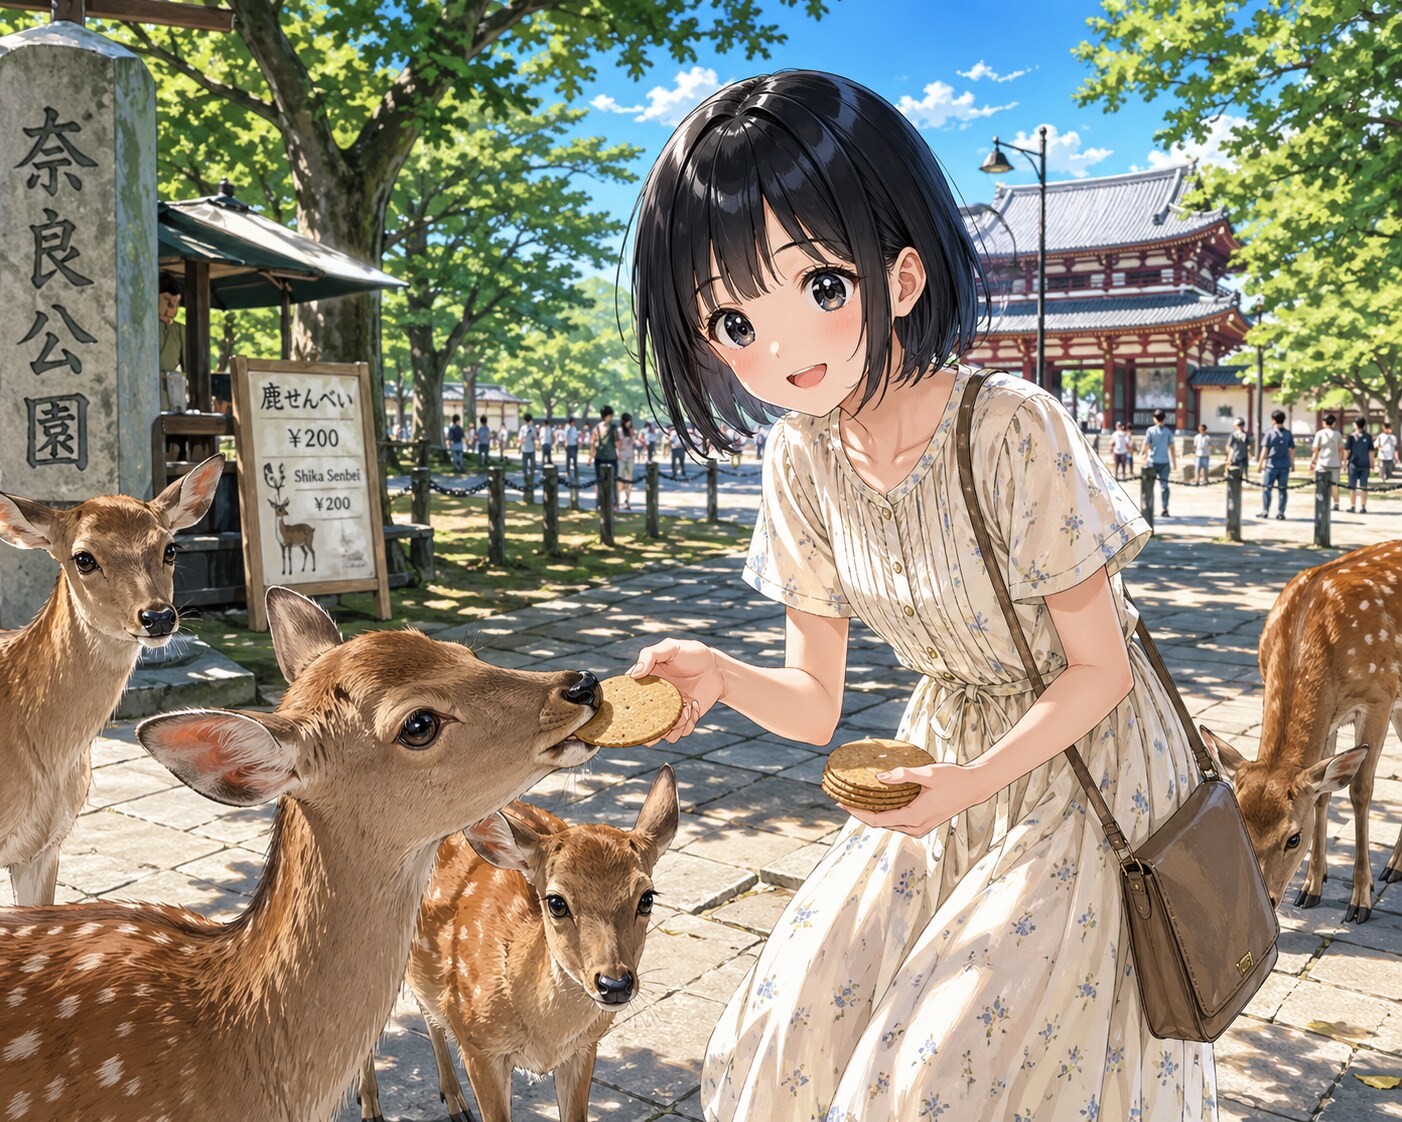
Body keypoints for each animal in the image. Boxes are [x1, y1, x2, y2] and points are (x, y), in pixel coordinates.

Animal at [358, 766, 679, 1122]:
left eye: (647, 898)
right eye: (556, 902)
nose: (615, 983)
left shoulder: (584, 1047)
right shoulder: (478, 1046)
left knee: (426, 1008)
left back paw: (457, 1104)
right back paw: (370, 1109)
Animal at [1203, 538, 1402, 923]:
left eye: (1293, 838)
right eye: (1240, 827)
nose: (1264, 901)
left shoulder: (1379, 695)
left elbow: (1360, 791)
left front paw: (1360, 899)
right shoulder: (1332, 718)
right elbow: (1323, 795)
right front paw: (1312, 886)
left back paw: (1391, 869)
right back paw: (1395, 866)